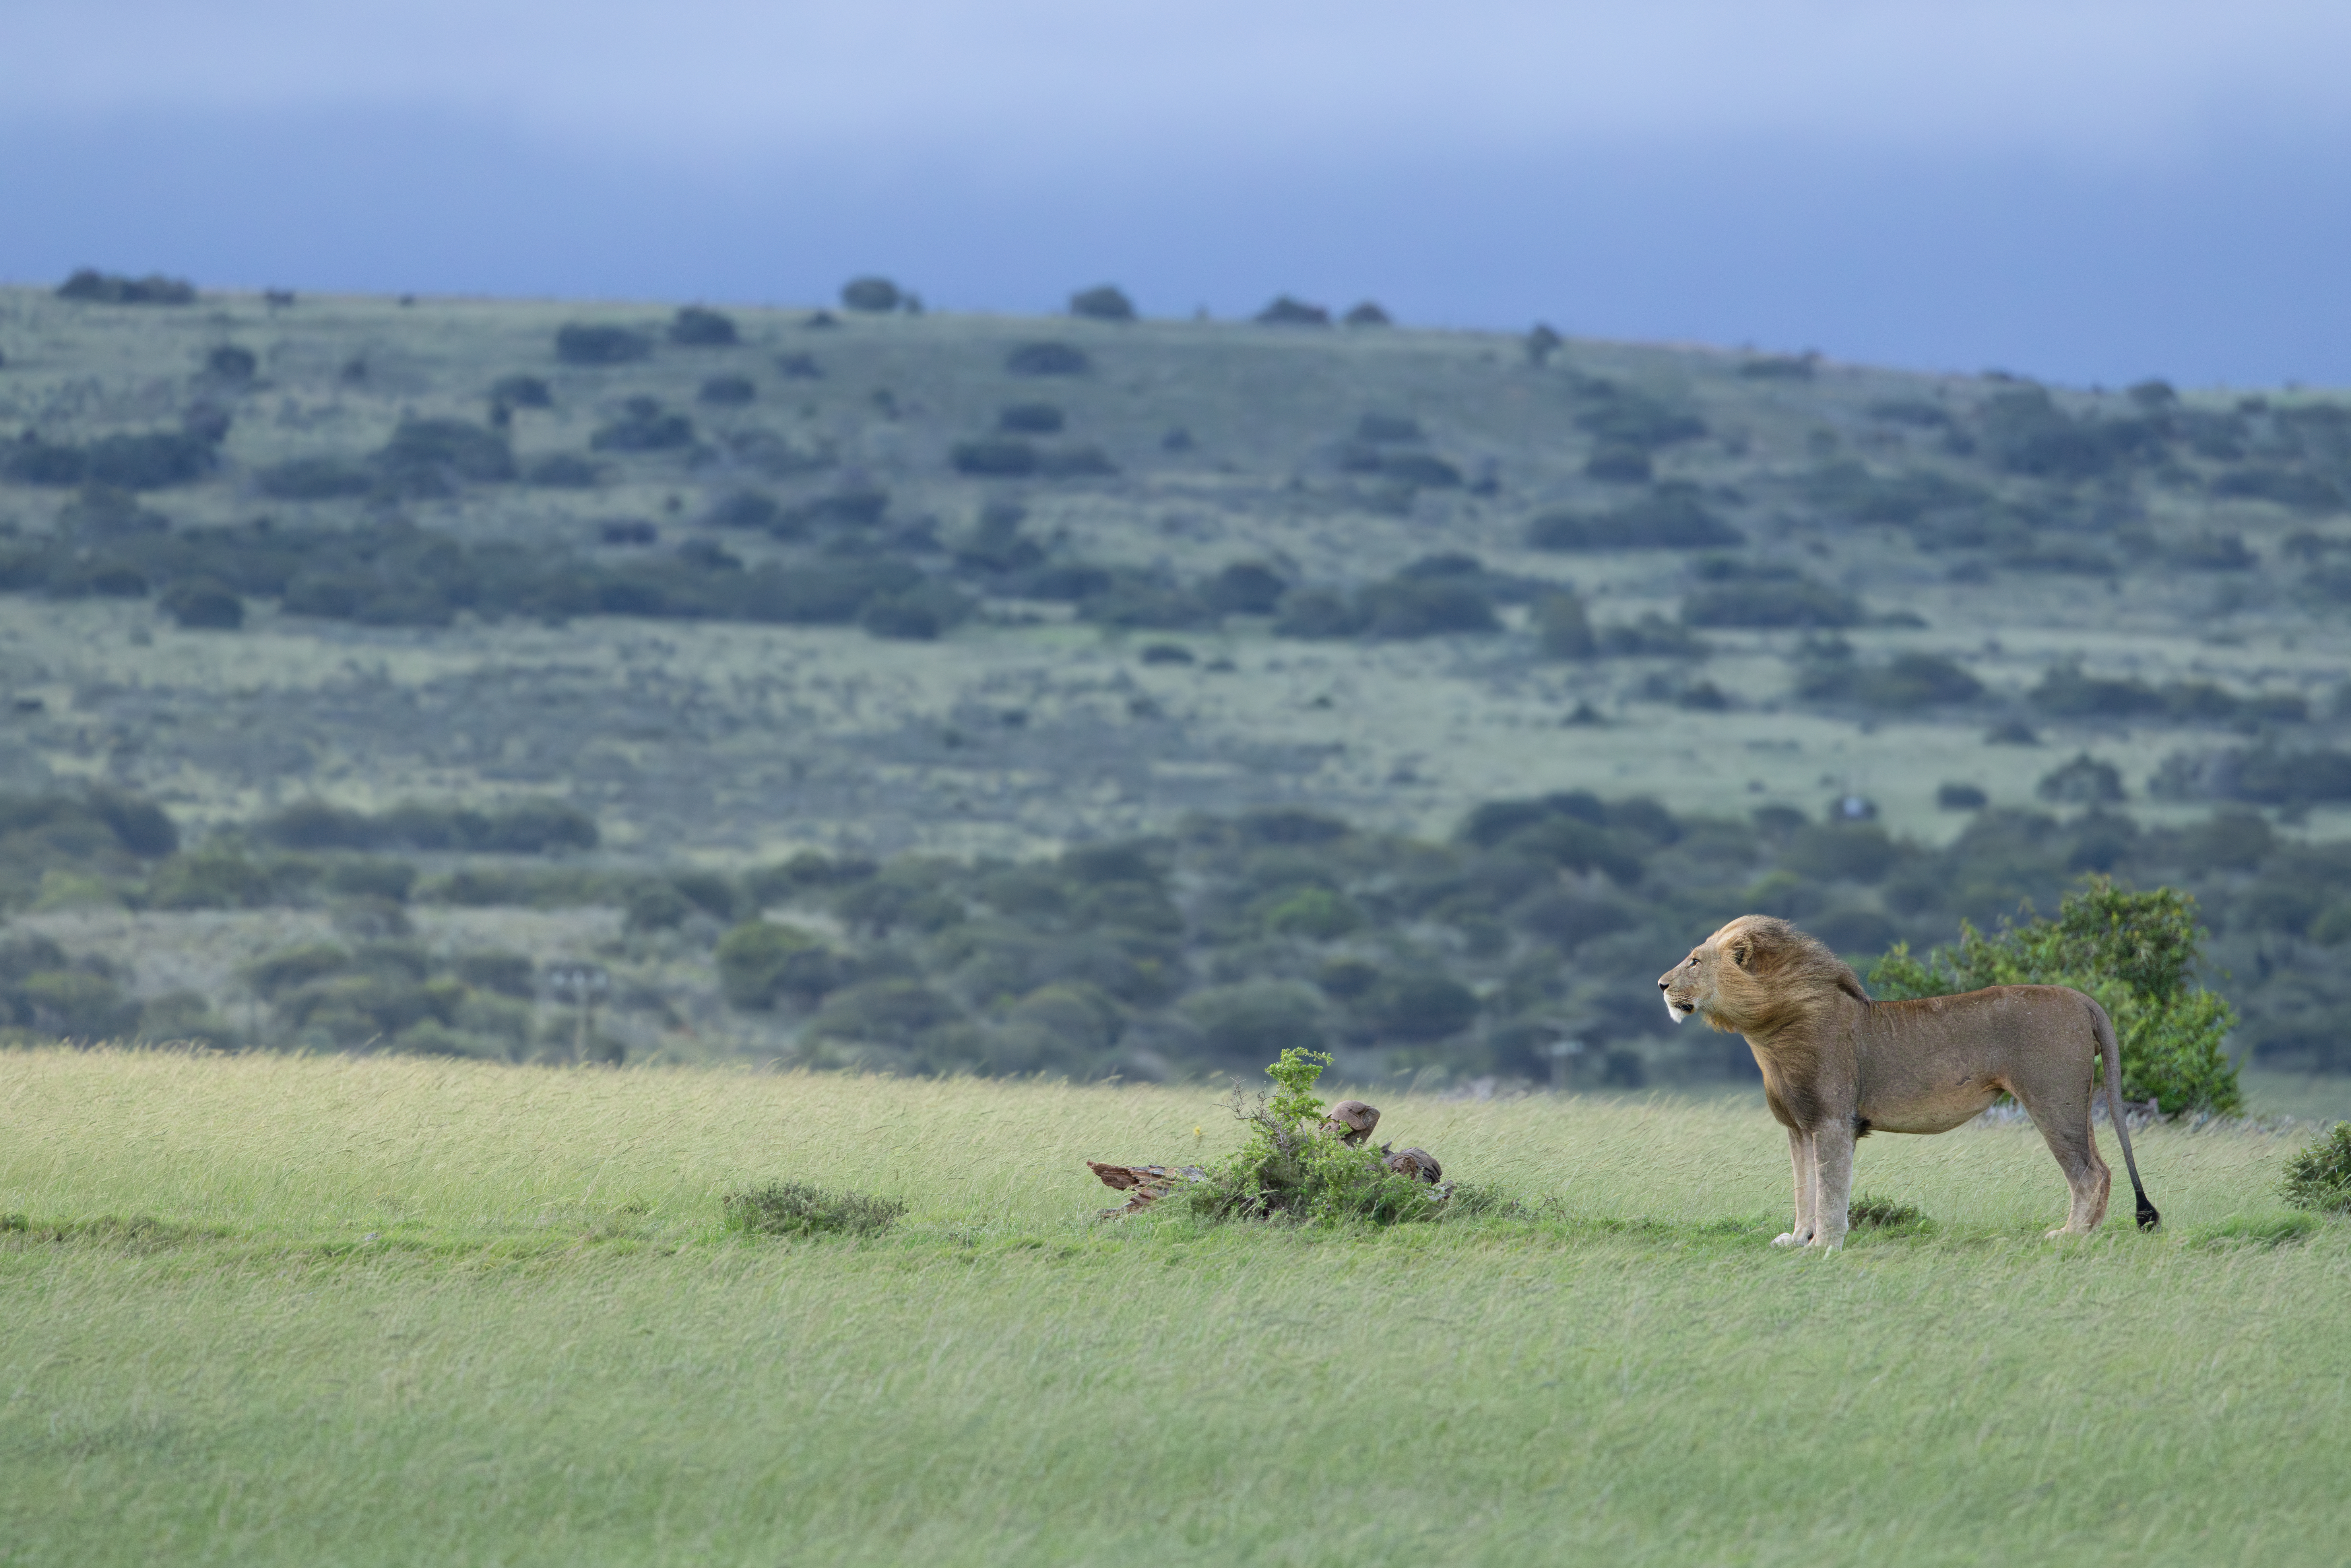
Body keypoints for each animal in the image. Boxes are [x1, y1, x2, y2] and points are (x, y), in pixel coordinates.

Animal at [1657, 914, 2157, 1249]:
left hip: (2051, 1101)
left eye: (1695, 962)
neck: (1769, 1028)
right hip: (2076, 1103)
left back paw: (2071, 1236)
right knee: (2102, 1168)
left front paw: (1825, 1245)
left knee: (2090, 1172)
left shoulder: (1834, 1121)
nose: (1661, 985)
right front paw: (1799, 1238)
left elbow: (1831, 1187)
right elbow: (1804, 1187)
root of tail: (2081, 998)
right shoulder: (1800, 1127)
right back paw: (2088, 1233)